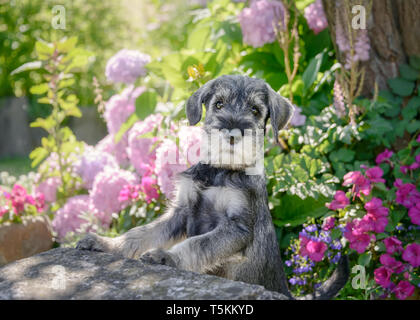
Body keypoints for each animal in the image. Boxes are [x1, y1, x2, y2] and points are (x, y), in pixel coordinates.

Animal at [77, 75, 350, 300]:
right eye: (218, 104)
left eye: (255, 110)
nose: (232, 133)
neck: (221, 170)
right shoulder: (181, 213)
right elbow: (140, 233)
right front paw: (106, 244)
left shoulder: (236, 227)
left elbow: (198, 245)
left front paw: (168, 257)